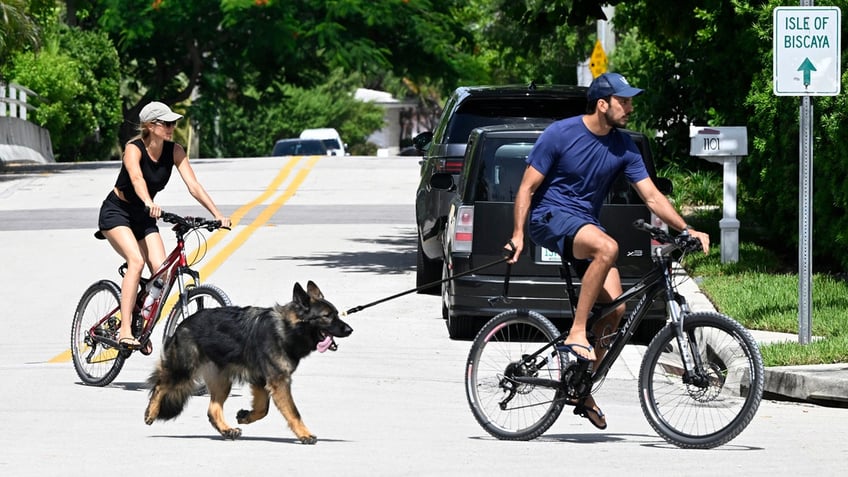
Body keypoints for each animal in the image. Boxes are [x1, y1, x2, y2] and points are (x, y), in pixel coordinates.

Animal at [144, 278, 352, 442]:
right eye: (327, 316)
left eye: (336, 314)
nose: (350, 329)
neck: (286, 329)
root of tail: (183, 324)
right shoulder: (279, 382)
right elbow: (293, 412)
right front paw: (305, 434)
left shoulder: (261, 381)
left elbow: (263, 409)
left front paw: (245, 416)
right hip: (184, 370)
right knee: (160, 385)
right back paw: (151, 413)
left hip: (222, 381)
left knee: (213, 409)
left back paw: (227, 430)